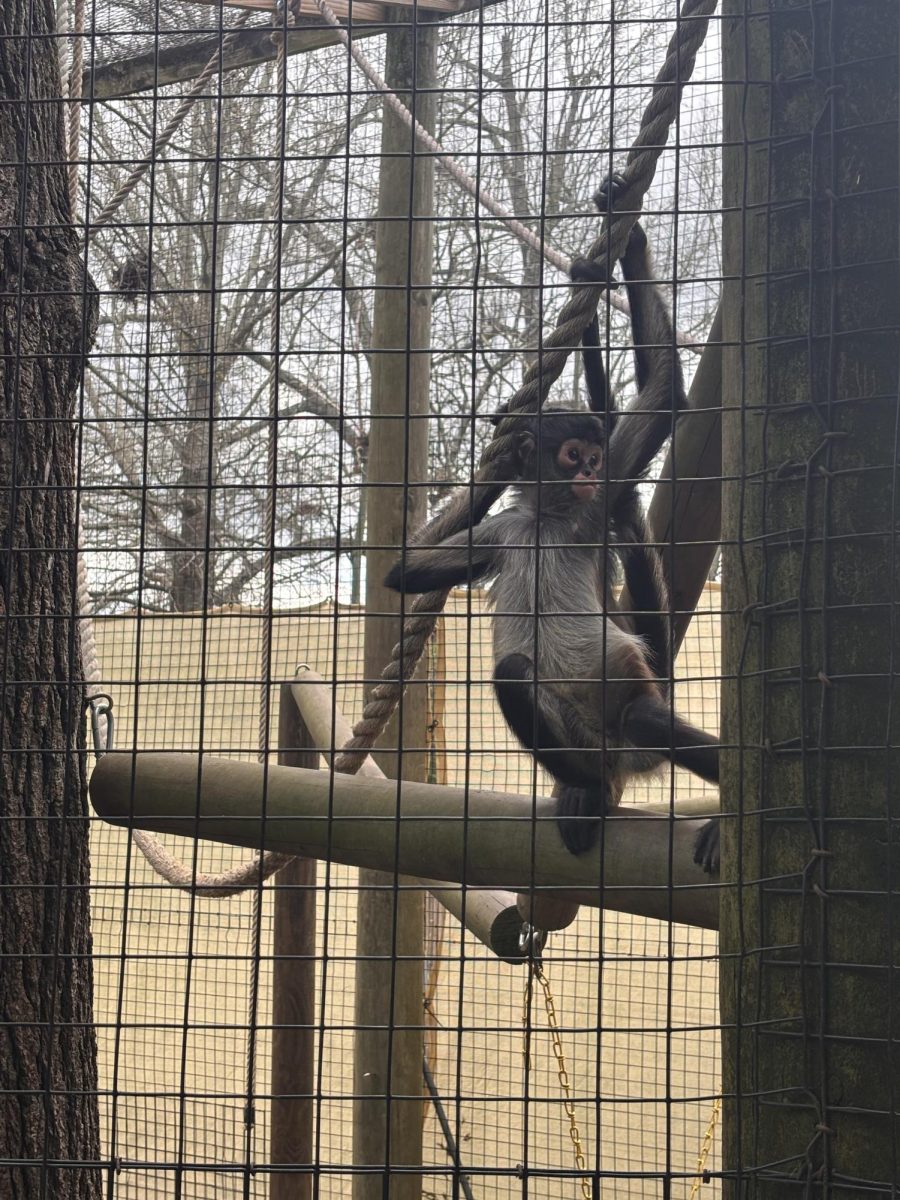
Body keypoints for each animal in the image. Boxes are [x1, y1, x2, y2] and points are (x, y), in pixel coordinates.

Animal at [385, 174, 720, 870]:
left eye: (595, 455)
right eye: (573, 454)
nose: (591, 468)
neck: (548, 521)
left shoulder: (598, 503)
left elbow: (665, 393)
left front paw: (632, 236)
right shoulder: (507, 531)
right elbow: (404, 573)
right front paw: (506, 442)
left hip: (629, 716)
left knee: (646, 720)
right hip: (579, 732)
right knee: (515, 676)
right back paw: (587, 787)